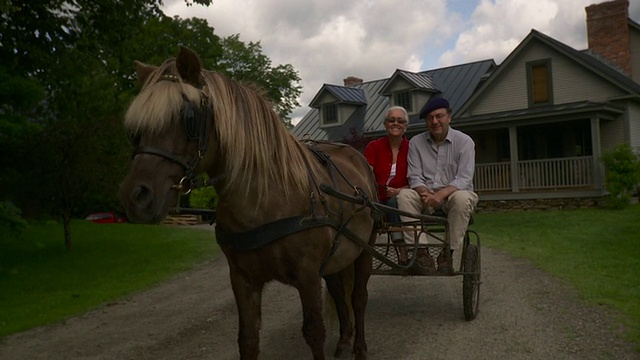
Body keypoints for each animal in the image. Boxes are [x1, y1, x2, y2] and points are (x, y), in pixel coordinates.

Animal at [118, 47, 378, 360]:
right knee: (340, 294)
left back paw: (360, 347)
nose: (136, 196)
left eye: (189, 117)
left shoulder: (307, 275)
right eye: (136, 129)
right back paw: (344, 340)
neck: (262, 202)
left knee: (359, 298)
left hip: (365, 248)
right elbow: (248, 339)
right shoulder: (242, 278)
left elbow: (314, 333)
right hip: (338, 257)